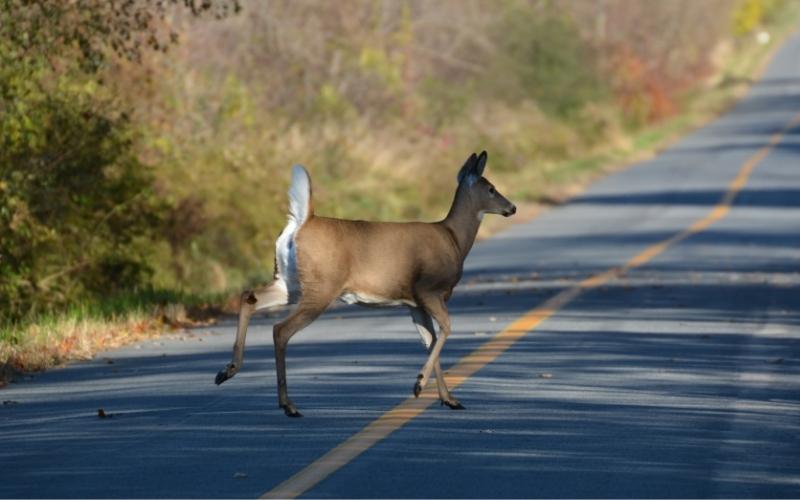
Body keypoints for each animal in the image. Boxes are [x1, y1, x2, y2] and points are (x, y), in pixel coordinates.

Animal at [215, 151, 516, 417]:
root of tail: (303, 221)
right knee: (280, 330)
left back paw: (227, 371)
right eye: (491, 189)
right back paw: (288, 405)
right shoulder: (429, 289)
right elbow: (446, 329)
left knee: (249, 296)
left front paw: (449, 399)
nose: (512, 207)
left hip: (290, 283)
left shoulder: (414, 303)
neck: (453, 238)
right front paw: (419, 385)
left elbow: (430, 340)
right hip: (321, 287)